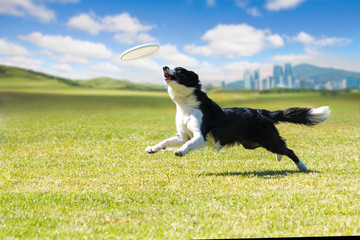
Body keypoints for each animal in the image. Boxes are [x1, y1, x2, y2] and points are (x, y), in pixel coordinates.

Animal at [145, 66, 330, 171]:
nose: (165, 66)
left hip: (267, 139)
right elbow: (166, 141)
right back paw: (280, 158)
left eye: (180, 70)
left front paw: (180, 151)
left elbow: (189, 144)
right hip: (253, 143)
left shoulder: (200, 135)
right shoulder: (182, 135)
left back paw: (303, 167)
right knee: (282, 149)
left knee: (288, 149)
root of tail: (262, 112)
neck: (186, 105)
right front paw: (152, 148)